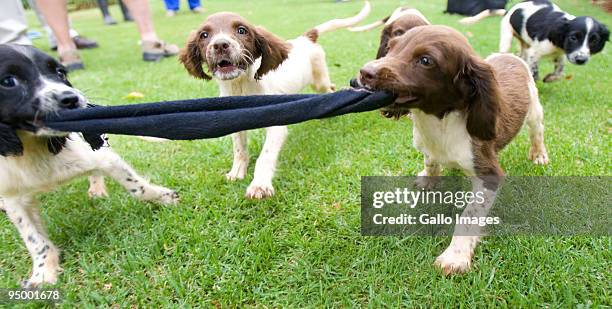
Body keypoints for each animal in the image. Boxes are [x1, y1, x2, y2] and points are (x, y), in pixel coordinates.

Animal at [0, 44, 178, 288]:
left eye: (60, 73)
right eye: (8, 81)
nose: (71, 98)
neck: (33, 146)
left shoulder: (100, 156)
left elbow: (137, 187)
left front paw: (165, 198)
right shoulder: (12, 195)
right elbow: (33, 237)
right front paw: (43, 273)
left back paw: (97, 188)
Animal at [179, 2, 370, 199]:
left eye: (241, 30)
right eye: (204, 35)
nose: (220, 45)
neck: (241, 86)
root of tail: (306, 39)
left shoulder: (277, 126)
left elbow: (265, 155)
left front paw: (260, 185)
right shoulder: (234, 122)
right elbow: (239, 149)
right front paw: (237, 172)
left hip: (319, 81)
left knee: (330, 88)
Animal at [354, 25, 548, 274]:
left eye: (425, 60)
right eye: (390, 47)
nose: (364, 72)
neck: (439, 122)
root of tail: (509, 56)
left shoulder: (488, 174)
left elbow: (468, 217)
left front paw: (455, 256)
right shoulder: (428, 146)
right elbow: (430, 161)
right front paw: (428, 179)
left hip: (534, 110)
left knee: (537, 132)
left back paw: (539, 155)